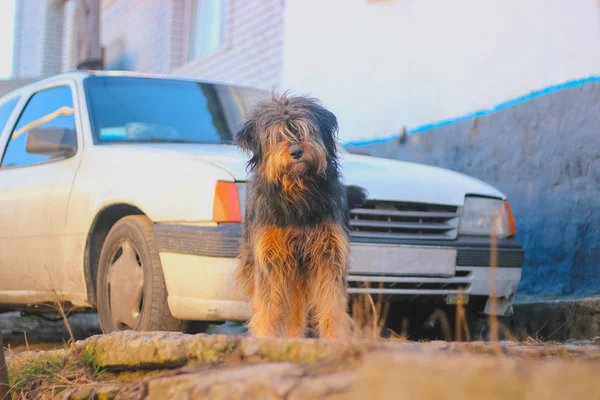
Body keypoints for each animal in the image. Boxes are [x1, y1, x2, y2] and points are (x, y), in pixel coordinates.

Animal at [236, 94, 366, 338]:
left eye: (305, 129)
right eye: (277, 135)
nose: (296, 151)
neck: (297, 193)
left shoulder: (328, 253)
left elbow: (331, 303)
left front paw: (336, 338)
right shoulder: (270, 256)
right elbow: (268, 304)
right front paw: (266, 337)